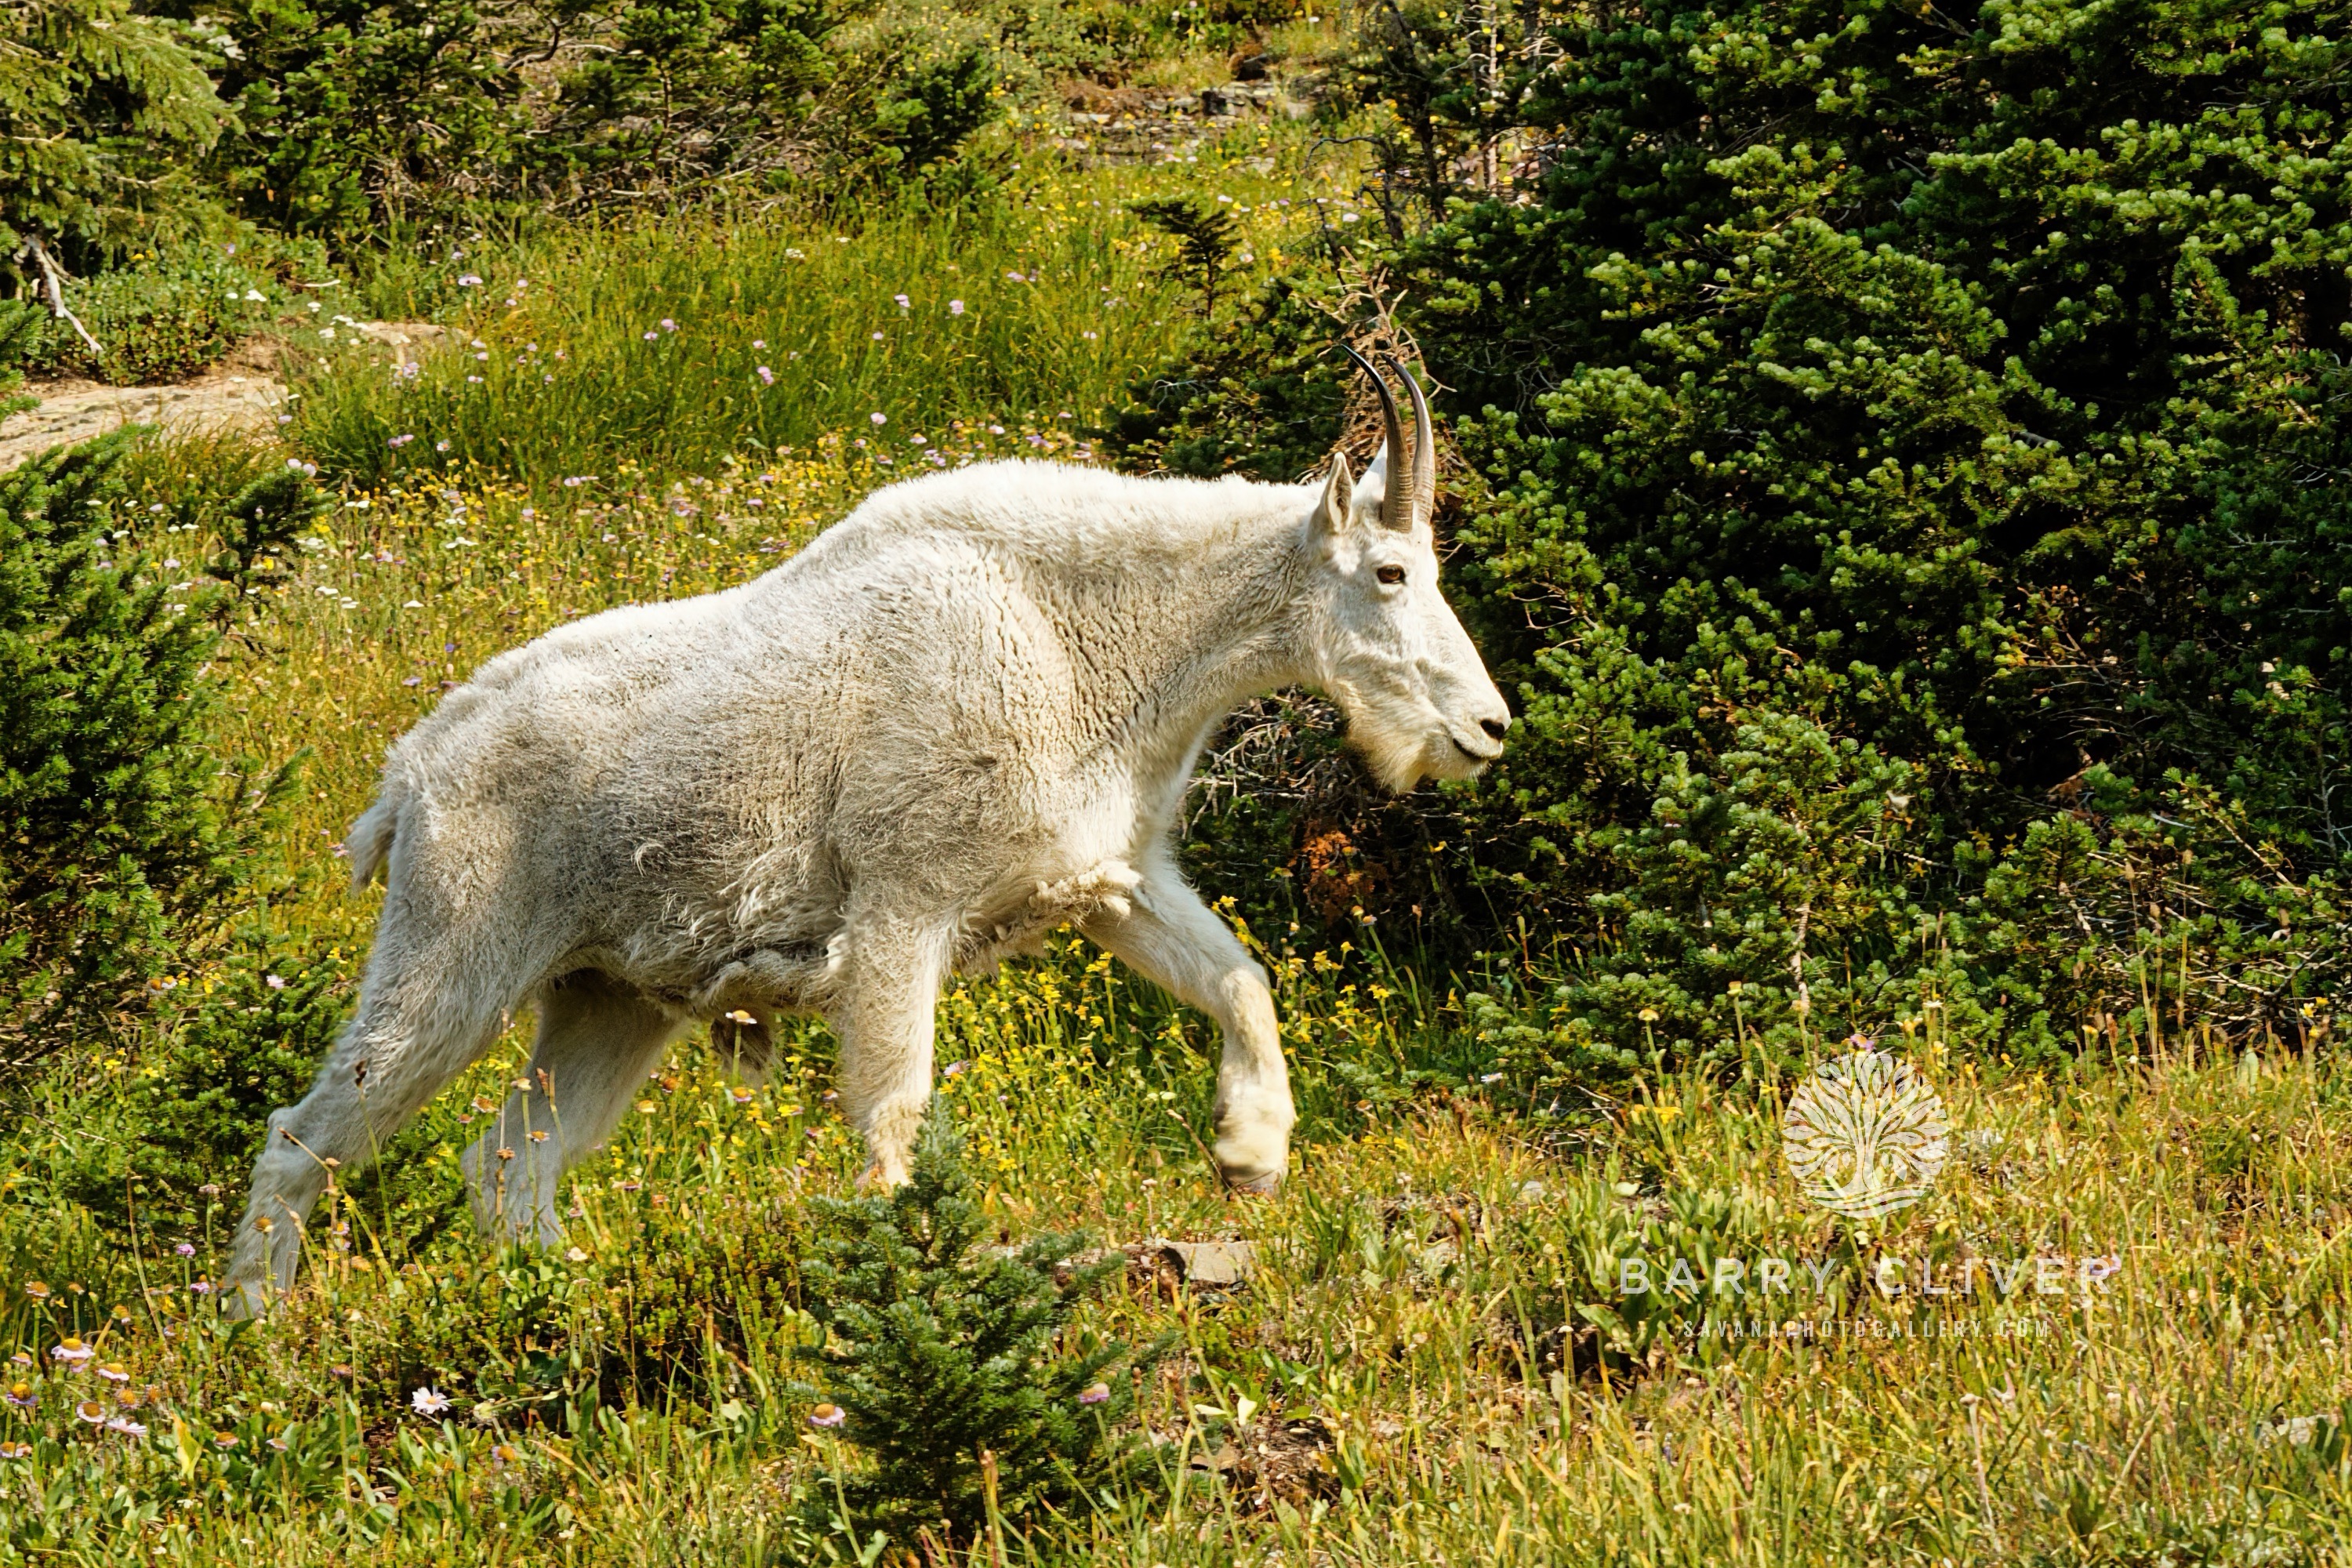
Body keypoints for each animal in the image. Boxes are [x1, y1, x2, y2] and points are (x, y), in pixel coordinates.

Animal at [221, 354, 1505, 1316]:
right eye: (1392, 571)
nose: (1487, 728)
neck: (1091, 634)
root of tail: (407, 776)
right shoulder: (902, 906)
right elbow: (895, 1116)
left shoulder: (1108, 879)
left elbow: (1242, 979)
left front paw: (1252, 1155)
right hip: (455, 949)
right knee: (309, 1134)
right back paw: (256, 1328)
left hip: (608, 996)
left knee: (514, 1164)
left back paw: (558, 1301)